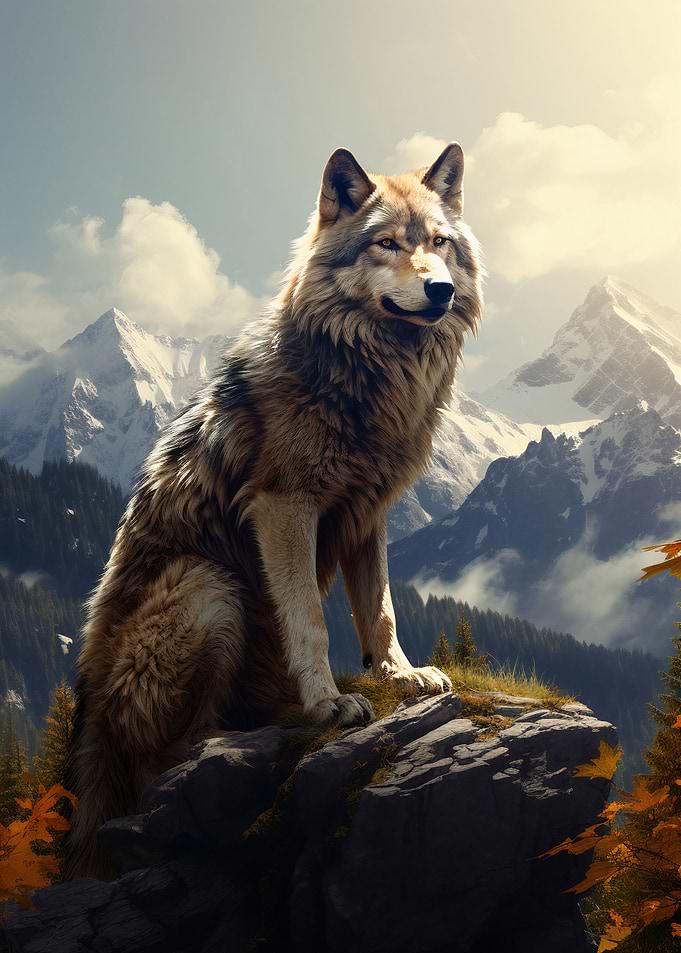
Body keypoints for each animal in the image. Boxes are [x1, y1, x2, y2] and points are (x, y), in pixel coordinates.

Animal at [63, 142, 483, 880]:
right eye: (386, 244)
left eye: (437, 243)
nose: (440, 290)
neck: (370, 372)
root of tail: (90, 729)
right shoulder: (286, 505)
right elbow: (310, 619)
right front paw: (327, 701)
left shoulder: (367, 512)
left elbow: (378, 609)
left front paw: (400, 676)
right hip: (210, 585)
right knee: (166, 762)